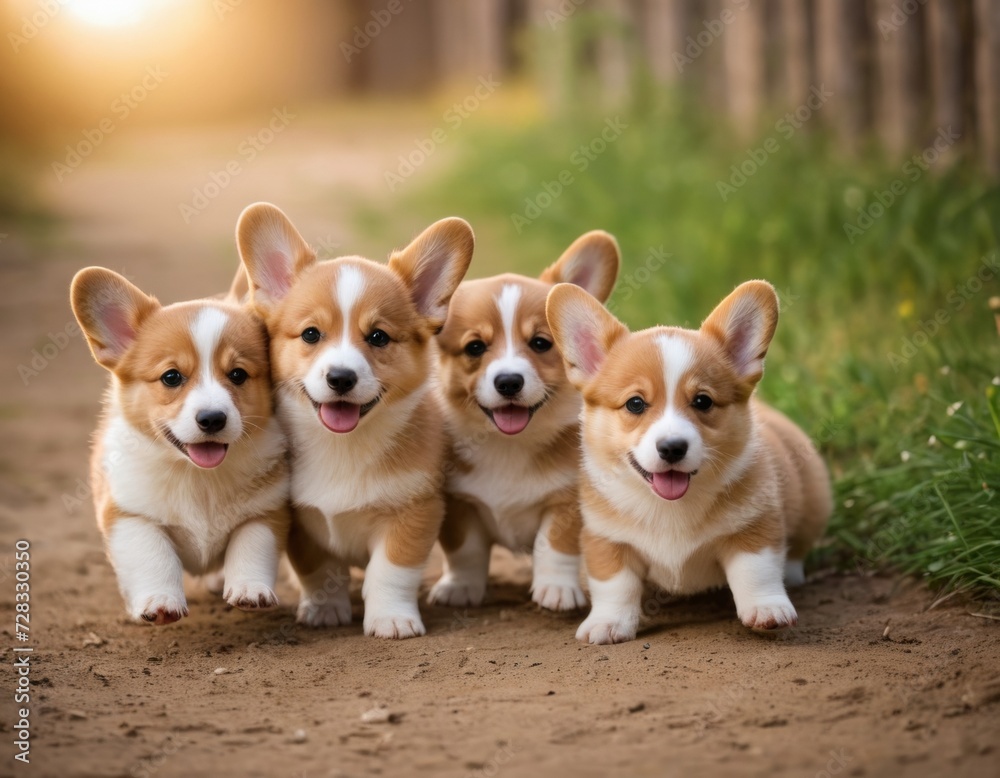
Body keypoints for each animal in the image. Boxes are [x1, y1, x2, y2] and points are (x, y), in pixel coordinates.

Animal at [69, 266, 290, 624]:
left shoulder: (268, 510)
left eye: (238, 374)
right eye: (171, 377)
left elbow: (252, 546)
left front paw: (250, 590)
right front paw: (159, 602)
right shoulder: (129, 515)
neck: (198, 476)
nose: (212, 419)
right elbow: (152, 556)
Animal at [236, 202, 474, 636]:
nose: (341, 378)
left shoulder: (413, 513)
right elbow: (320, 571)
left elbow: (390, 573)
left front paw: (392, 619)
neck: (343, 446)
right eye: (311, 334)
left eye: (378, 337)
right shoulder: (301, 526)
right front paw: (325, 609)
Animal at [428, 230, 616, 608]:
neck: (508, 445)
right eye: (474, 347)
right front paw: (460, 588)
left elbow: (552, 546)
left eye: (541, 343)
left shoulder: (565, 502)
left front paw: (557, 590)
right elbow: (466, 550)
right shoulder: (459, 503)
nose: (509, 382)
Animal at [544, 278, 832, 644]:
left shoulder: (754, 527)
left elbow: (756, 571)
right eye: (635, 404)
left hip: (814, 502)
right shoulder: (607, 539)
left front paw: (768, 609)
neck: (670, 507)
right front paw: (608, 623)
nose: (672, 448)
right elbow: (614, 586)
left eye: (702, 401)